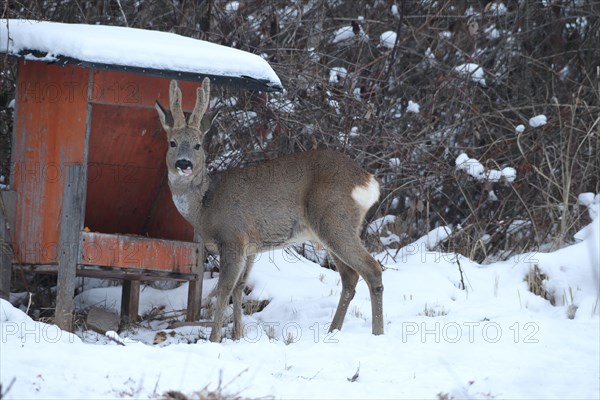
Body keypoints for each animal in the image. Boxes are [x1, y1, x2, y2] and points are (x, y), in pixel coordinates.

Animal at [152, 79, 382, 344]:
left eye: (198, 145)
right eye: (172, 142)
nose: (184, 164)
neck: (204, 207)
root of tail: (368, 181)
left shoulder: (232, 238)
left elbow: (224, 290)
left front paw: (214, 339)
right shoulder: (250, 247)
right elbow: (239, 288)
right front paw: (238, 335)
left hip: (333, 218)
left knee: (372, 269)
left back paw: (377, 333)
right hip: (332, 228)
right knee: (350, 276)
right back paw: (332, 331)